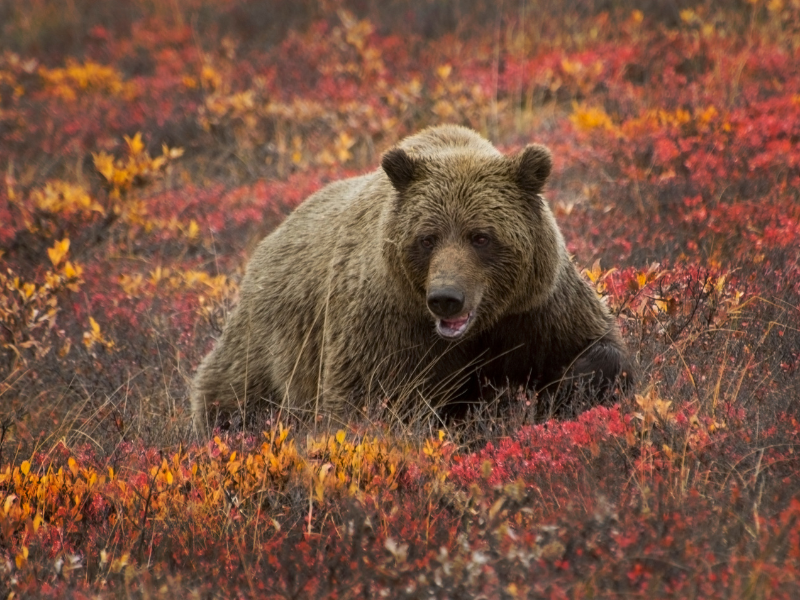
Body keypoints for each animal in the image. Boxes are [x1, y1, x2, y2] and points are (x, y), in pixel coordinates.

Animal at [191, 125, 631, 433]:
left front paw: (575, 385)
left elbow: (597, 348)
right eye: (427, 237)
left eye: (481, 236)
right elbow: (368, 401)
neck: (479, 328)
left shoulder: (537, 308)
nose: (446, 297)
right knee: (231, 396)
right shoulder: (388, 324)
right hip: (266, 346)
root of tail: (267, 241)